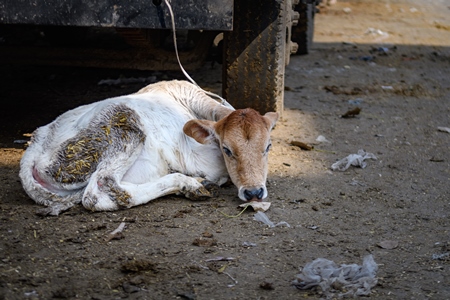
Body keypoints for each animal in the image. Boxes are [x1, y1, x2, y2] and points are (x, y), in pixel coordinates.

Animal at [20, 80, 278, 216]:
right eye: (227, 149)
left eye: (268, 146)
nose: (254, 193)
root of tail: (37, 140)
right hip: (125, 127)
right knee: (99, 190)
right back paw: (190, 184)